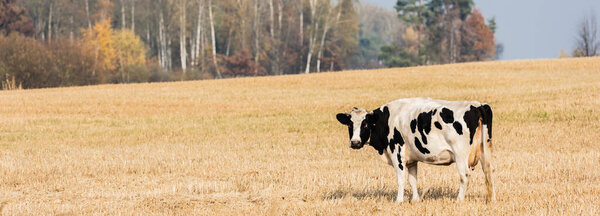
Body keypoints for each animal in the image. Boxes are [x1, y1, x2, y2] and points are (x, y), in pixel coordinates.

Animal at [336, 98, 494, 202]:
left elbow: (400, 179)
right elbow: (412, 180)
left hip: (461, 155)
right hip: (485, 150)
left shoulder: (397, 152)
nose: (355, 143)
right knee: (489, 172)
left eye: (365, 125)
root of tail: (477, 105)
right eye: (350, 125)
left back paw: (459, 200)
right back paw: (491, 200)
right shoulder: (411, 159)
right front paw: (415, 200)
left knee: (464, 176)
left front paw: (399, 201)